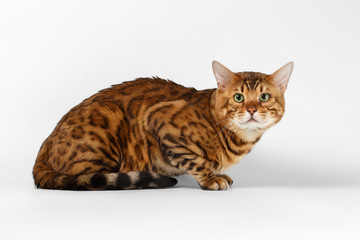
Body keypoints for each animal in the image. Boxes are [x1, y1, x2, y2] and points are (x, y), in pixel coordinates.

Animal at [33, 61, 292, 190]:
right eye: (239, 97)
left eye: (264, 97)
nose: (252, 109)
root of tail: (44, 147)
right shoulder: (160, 121)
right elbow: (196, 161)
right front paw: (210, 179)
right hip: (106, 119)